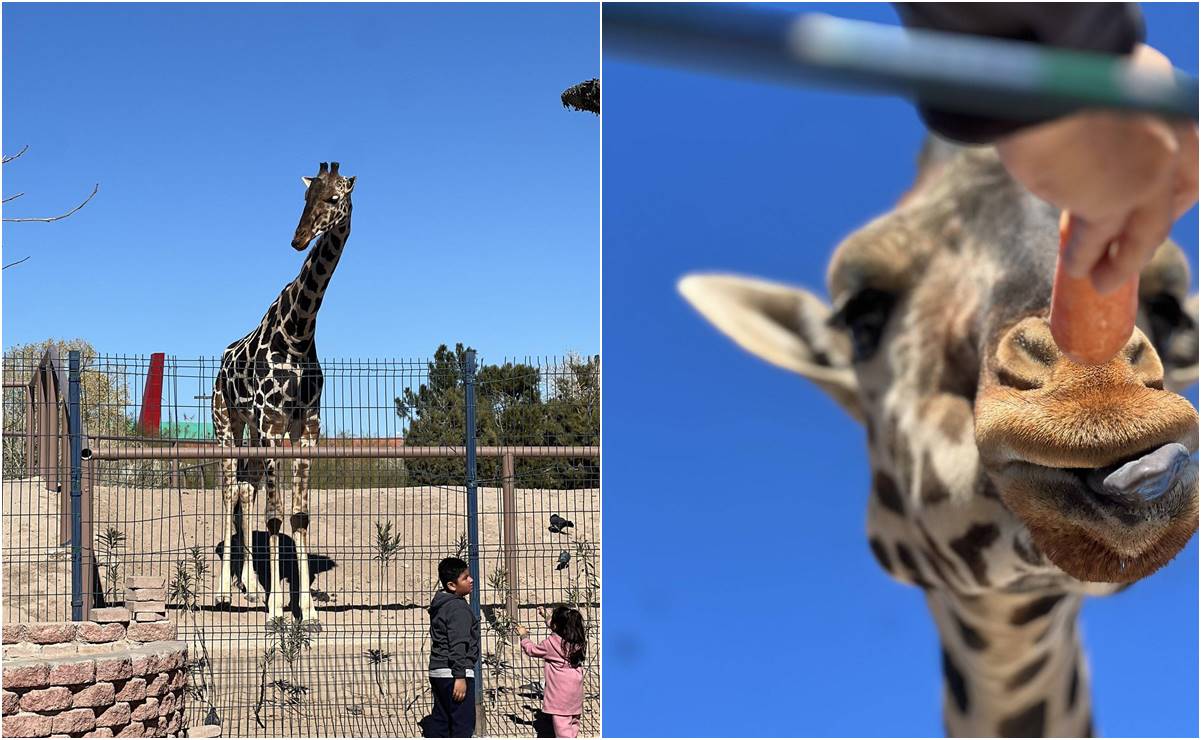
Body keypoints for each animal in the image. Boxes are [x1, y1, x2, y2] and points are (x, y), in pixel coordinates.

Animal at [212, 162, 353, 629]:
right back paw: (226, 592)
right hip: (228, 425)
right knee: (229, 491)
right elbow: (275, 518)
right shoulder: (274, 424)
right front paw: (277, 609)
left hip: (255, 436)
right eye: (305, 198)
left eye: (334, 198)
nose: (298, 238)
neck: (298, 331)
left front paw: (306, 609)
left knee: (245, 490)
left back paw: (251, 588)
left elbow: (299, 515)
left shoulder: (306, 428)